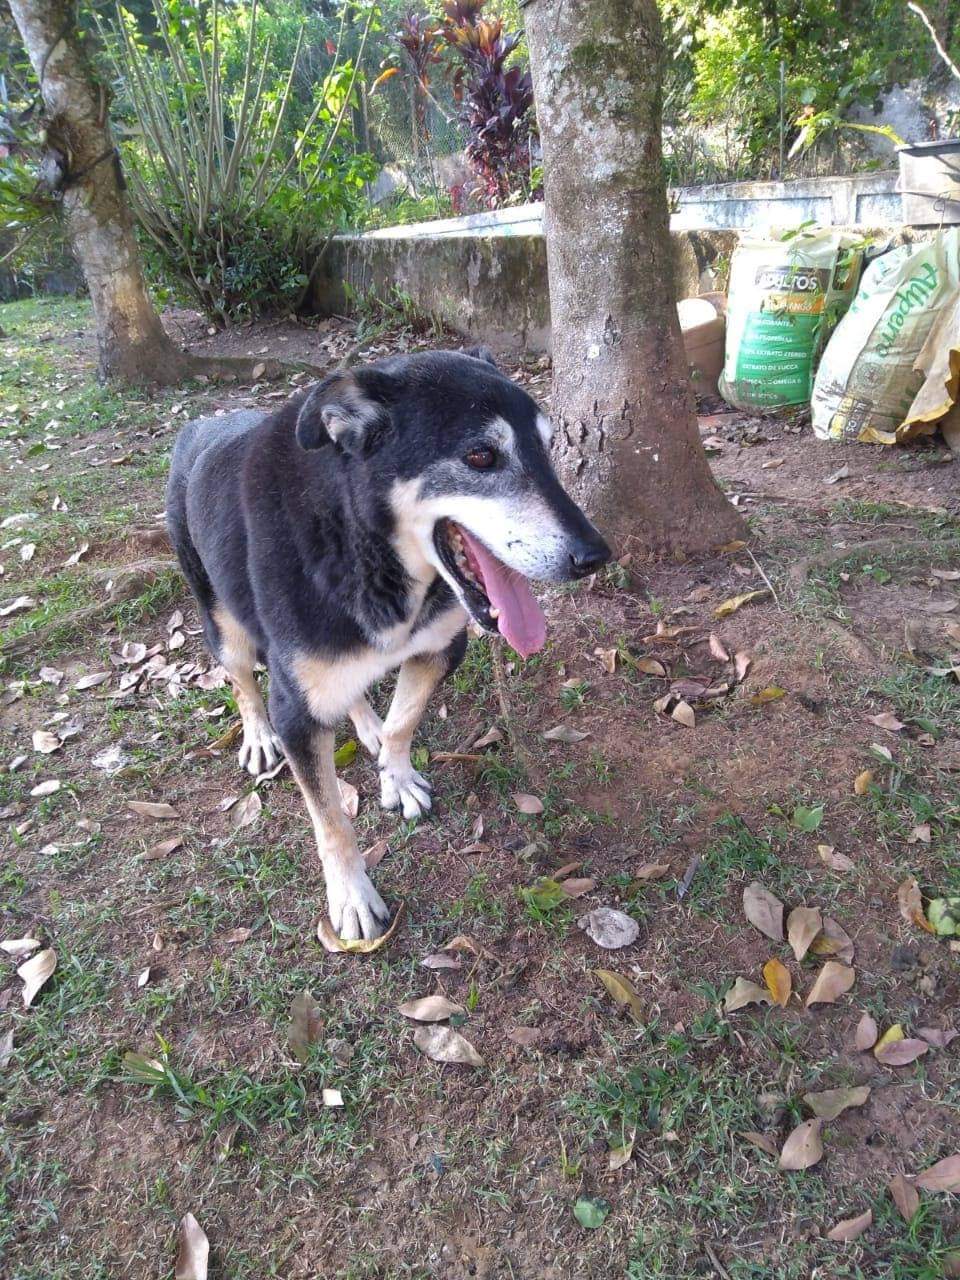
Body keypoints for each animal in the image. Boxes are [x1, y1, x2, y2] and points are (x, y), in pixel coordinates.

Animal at [166, 348, 611, 940]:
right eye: (481, 455)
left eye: (548, 447)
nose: (595, 556)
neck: (363, 545)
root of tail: (201, 425)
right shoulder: (296, 711)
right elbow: (331, 820)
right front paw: (352, 896)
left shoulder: (440, 649)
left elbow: (404, 721)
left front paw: (395, 776)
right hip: (223, 619)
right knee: (241, 681)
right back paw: (258, 736)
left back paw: (367, 726)